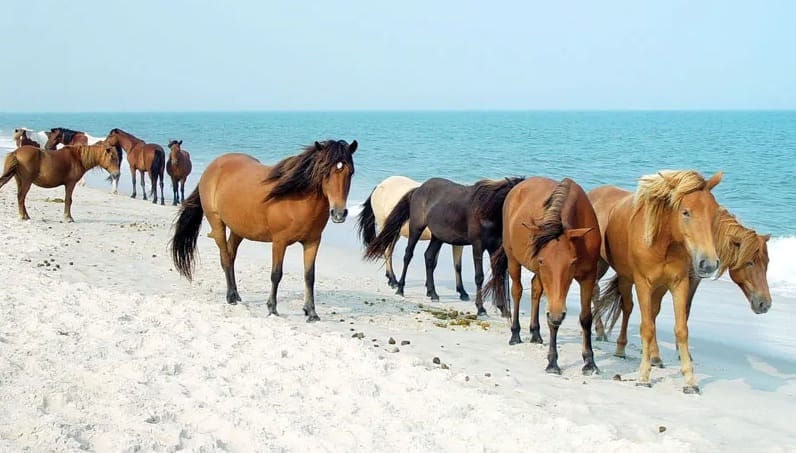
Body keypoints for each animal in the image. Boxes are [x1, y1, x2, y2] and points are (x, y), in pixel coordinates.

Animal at [170, 139, 358, 322]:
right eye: (325, 172)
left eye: (350, 172)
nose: (339, 213)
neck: (296, 198)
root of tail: (211, 168)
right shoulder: (279, 242)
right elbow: (276, 274)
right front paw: (272, 309)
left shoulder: (312, 242)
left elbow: (309, 276)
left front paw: (311, 312)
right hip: (217, 224)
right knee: (225, 258)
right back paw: (230, 296)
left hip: (238, 230)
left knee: (231, 256)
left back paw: (236, 294)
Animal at [363, 176, 523, 316]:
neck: (485, 211)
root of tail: (418, 189)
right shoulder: (477, 247)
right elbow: (479, 277)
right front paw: (480, 308)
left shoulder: (494, 248)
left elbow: (499, 276)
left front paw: (503, 309)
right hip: (415, 228)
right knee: (407, 255)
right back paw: (399, 287)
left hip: (436, 237)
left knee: (428, 256)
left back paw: (433, 293)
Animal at [484, 177, 602, 375]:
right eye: (541, 260)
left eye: (572, 262)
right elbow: (553, 322)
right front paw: (553, 362)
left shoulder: (589, 276)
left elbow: (586, 318)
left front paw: (590, 362)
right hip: (513, 259)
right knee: (517, 291)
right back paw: (515, 334)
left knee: (535, 290)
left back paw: (535, 333)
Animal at [589, 170, 723, 393]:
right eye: (685, 212)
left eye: (714, 213)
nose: (709, 264)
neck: (663, 242)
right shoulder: (643, 283)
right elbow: (647, 327)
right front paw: (643, 376)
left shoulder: (678, 284)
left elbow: (681, 329)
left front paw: (690, 381)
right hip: (607, 269)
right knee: (606, 297)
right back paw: (610, 340)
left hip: (645, 283)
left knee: (643, 310)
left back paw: (650, 355)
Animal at [594, 206, 772, 362]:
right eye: (749, 263)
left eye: (767, 262)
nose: (765, 304)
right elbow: (653, 312)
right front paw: (655, 354)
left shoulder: (691, 279)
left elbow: (684, 310)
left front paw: (681, 352)